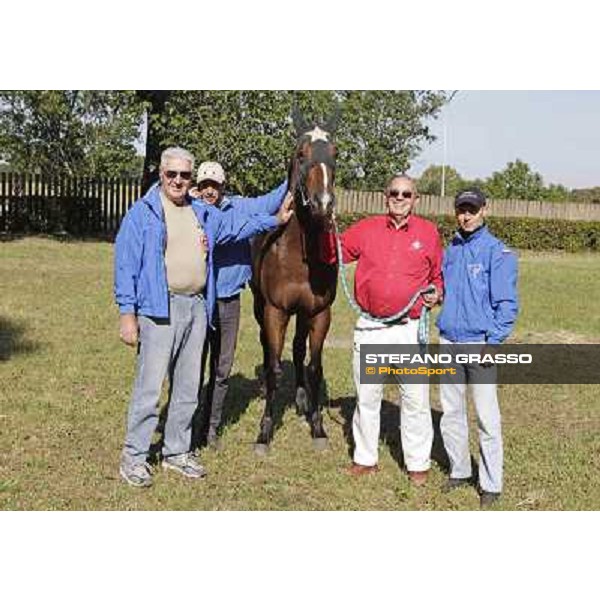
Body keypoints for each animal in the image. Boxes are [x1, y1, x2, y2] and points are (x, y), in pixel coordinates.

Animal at [251, 112, 340, 454]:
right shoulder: (275, 310)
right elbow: (275, 367)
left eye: (335, 154)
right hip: (259, 307)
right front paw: (264, 433)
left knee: (300, 350)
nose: (323, 204)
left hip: (302, 314)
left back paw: (301, 399)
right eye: (301, 154)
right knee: (267, 348)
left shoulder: (318, 312)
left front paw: (318, 428)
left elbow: (314, 367)